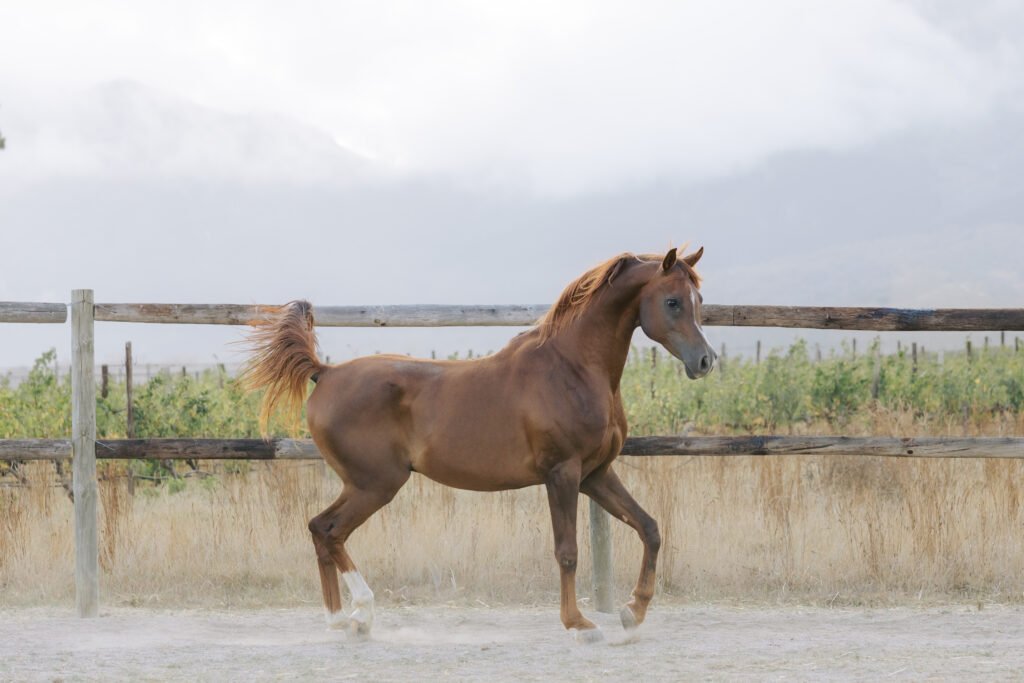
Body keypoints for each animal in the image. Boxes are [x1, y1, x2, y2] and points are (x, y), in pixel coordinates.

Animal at [242, 248, 716, 643]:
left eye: (698, 301)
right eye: (672, 302)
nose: (705, 361)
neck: (572, 369)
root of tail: (325, 373)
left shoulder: (595, 474)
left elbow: (649, 528)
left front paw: (632, 612)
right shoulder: (562, 474)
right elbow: (567, 552)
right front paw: (580, 625)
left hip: (364, 485)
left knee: (320, 530)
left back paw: (345, 620)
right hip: (375, 484)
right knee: (328, 530)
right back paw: (356, 614)